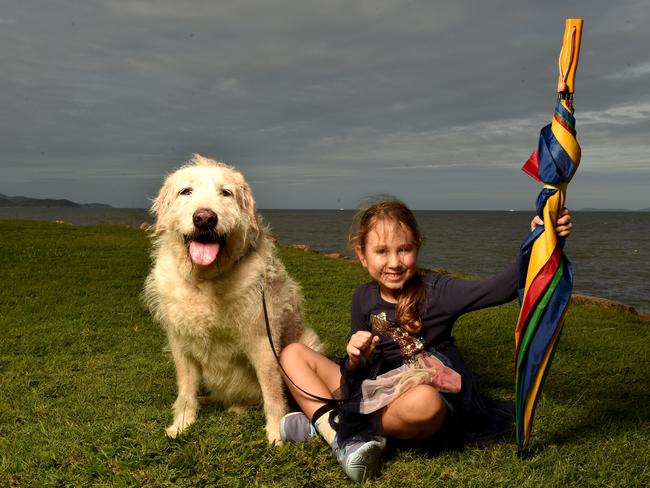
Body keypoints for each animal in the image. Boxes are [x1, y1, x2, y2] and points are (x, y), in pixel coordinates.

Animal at [144, 153, 322, 442]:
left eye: (225, 193)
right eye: (186, 191)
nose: (205, 218)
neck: (206, 281)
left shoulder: (262, 342)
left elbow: (272, 393)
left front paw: (276, 434)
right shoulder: (180, 345)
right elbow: (185, 391)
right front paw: (182, 424)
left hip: (306, 343)